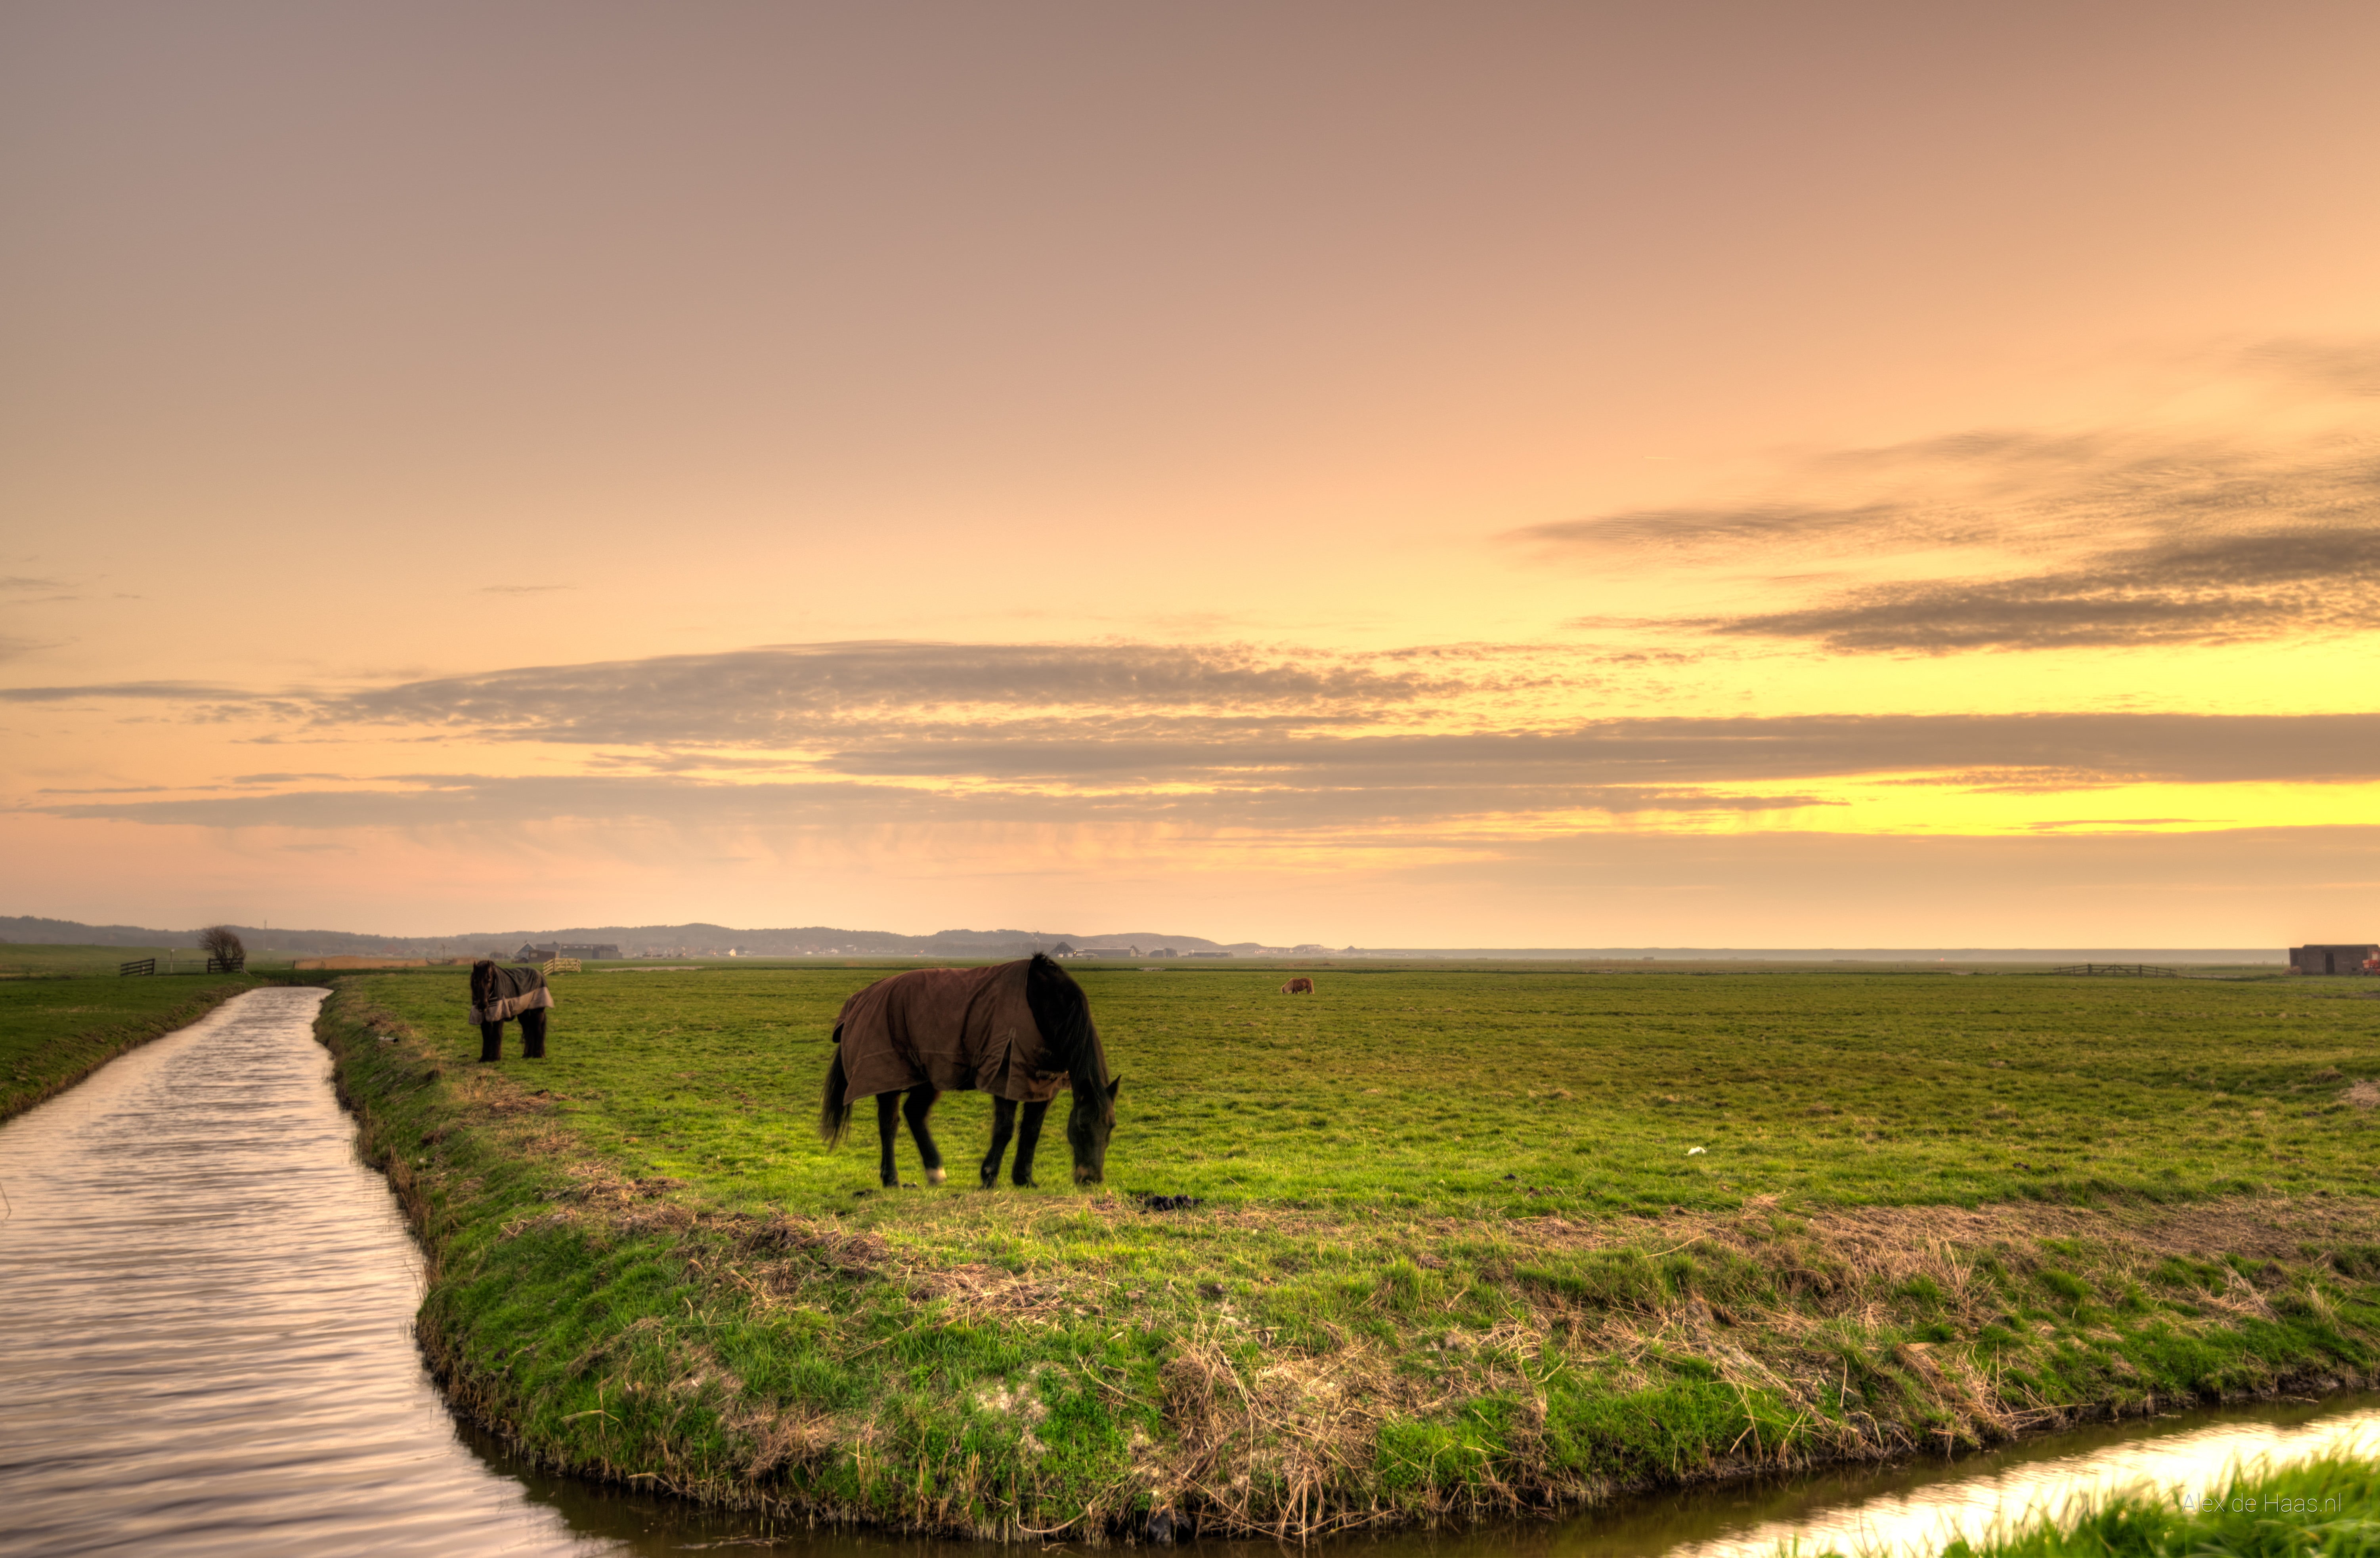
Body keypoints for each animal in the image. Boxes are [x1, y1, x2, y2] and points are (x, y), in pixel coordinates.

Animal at [469, 959, 553, 1061]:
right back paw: (528, 1054)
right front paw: (485, 1058)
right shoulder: (483, 1018)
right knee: (529, 1029)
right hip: (523, 1014)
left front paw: (496, 1057)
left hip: (537, 1012)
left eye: (489, 981)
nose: (482, 1005)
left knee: (538, 1030)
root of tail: (540, 974)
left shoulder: (499, 1016)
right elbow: (487, 1035)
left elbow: (497, 1034)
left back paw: (538, 1054)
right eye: (475, 981)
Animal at [818, 952, 1120, 1190]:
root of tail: (860, 999)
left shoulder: (1041, 1083)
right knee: (889, 1124)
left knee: (914, 1114)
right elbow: (1005, 1129)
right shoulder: (1006, 1075)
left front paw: (1024, 1179)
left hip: (927, 1077)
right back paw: (891, 1179)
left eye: (1111, 1127)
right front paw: (989, 1177)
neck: (1044, 1001)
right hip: (889, 1076)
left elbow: (1032, 1131)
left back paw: (936, 1172)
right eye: (1081, 1126)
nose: (1091, 1179)